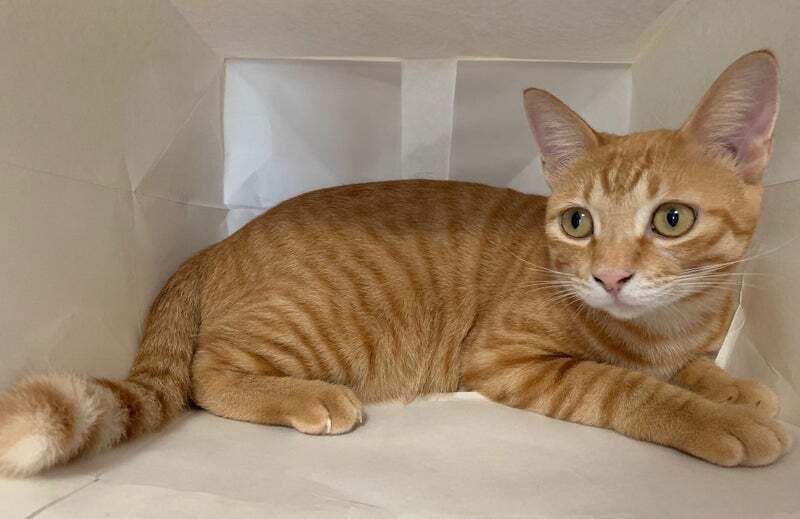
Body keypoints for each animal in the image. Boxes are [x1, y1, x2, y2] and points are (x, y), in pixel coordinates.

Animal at [0, 50, 791, 477]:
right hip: (312, 323)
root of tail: (215, 245)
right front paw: (711, 416)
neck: (668, 325)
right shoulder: (506, 358)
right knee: (205, 371)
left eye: (672, 219)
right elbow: (626, 386)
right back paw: (308, 397)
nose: (612, 276)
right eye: (578, 223)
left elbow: (694, 368)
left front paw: (735, 387)